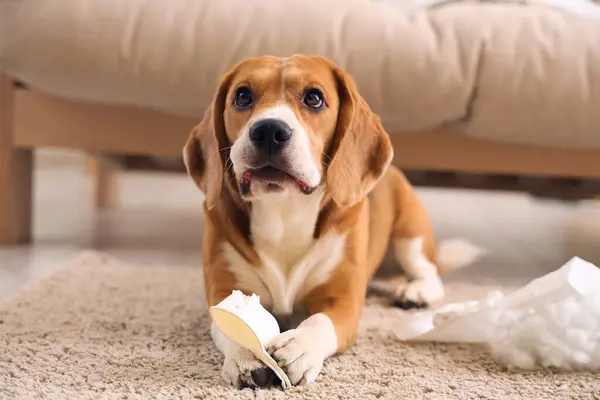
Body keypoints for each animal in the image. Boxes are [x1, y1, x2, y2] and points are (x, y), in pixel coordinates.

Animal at [183, 54, 478, 390]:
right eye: (242, 96)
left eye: (314, 98)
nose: (269, 130)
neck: (283, 211)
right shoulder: (225, 290)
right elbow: (232, 321)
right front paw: (247, 353)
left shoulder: (343, 302)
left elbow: (320, 322)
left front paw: (298, 347)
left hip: (410, 233)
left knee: (428, 271)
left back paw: (416, 292)